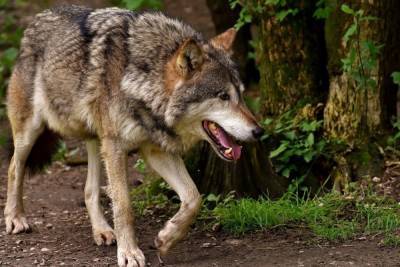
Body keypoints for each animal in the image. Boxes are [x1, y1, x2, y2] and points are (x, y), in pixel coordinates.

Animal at [4, 4, 266, 267]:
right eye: (223, 96)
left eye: (241, 95)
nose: (259, 131)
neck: (142, 81)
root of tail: (37, 18)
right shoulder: (117, 147)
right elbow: (124, 206)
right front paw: (129, 252)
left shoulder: (155, 150)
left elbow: (194, 197)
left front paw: (167, 238)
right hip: (32, 131)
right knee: (14, 167)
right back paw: (15, 218)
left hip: (97, 140)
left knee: (89, 190)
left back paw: (102, 231)